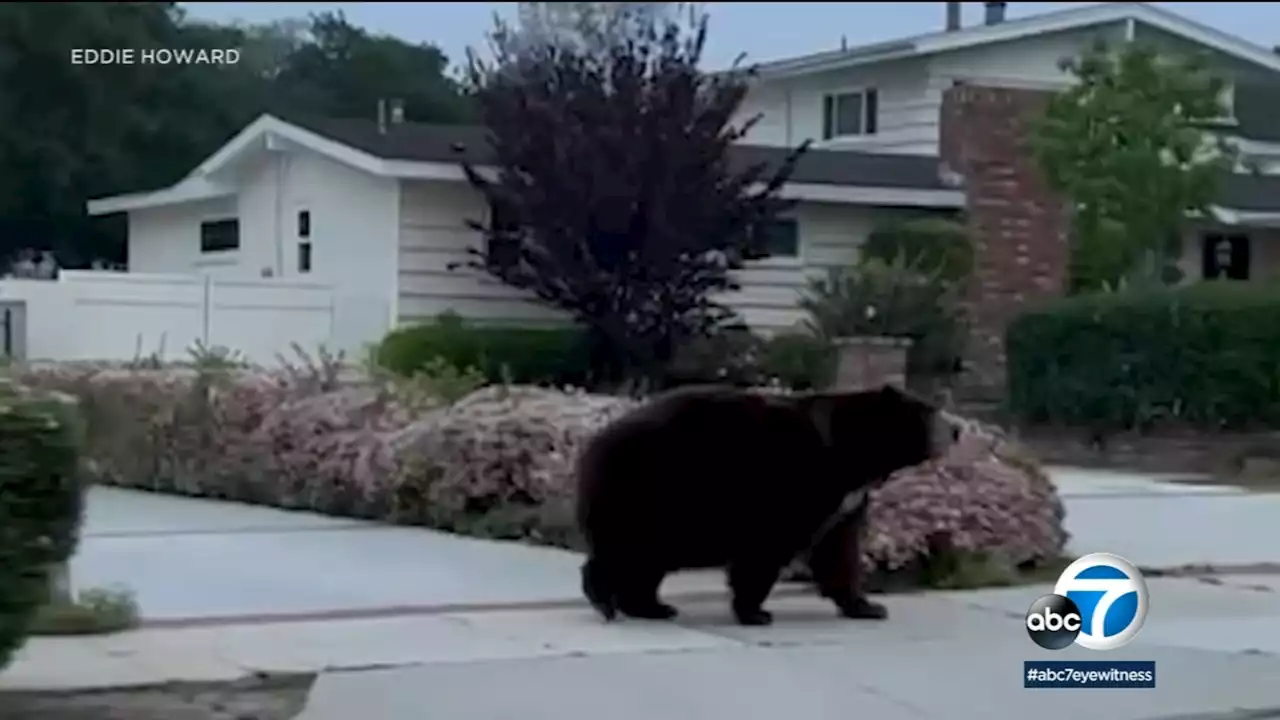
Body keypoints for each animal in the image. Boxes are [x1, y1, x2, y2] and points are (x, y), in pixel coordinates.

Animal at [576, 381, 957, 622]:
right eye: (929, 410)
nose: (956, 430)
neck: (850, 457)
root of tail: (594, 443)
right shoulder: (791, 486)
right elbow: (767, 546)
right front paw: (755, 611)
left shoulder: (845, 501)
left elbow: (839, 550)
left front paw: (867, 606)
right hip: (648, 492)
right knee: (627, 550)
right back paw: (606, 600)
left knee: (645, 561)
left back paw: (651, 607)